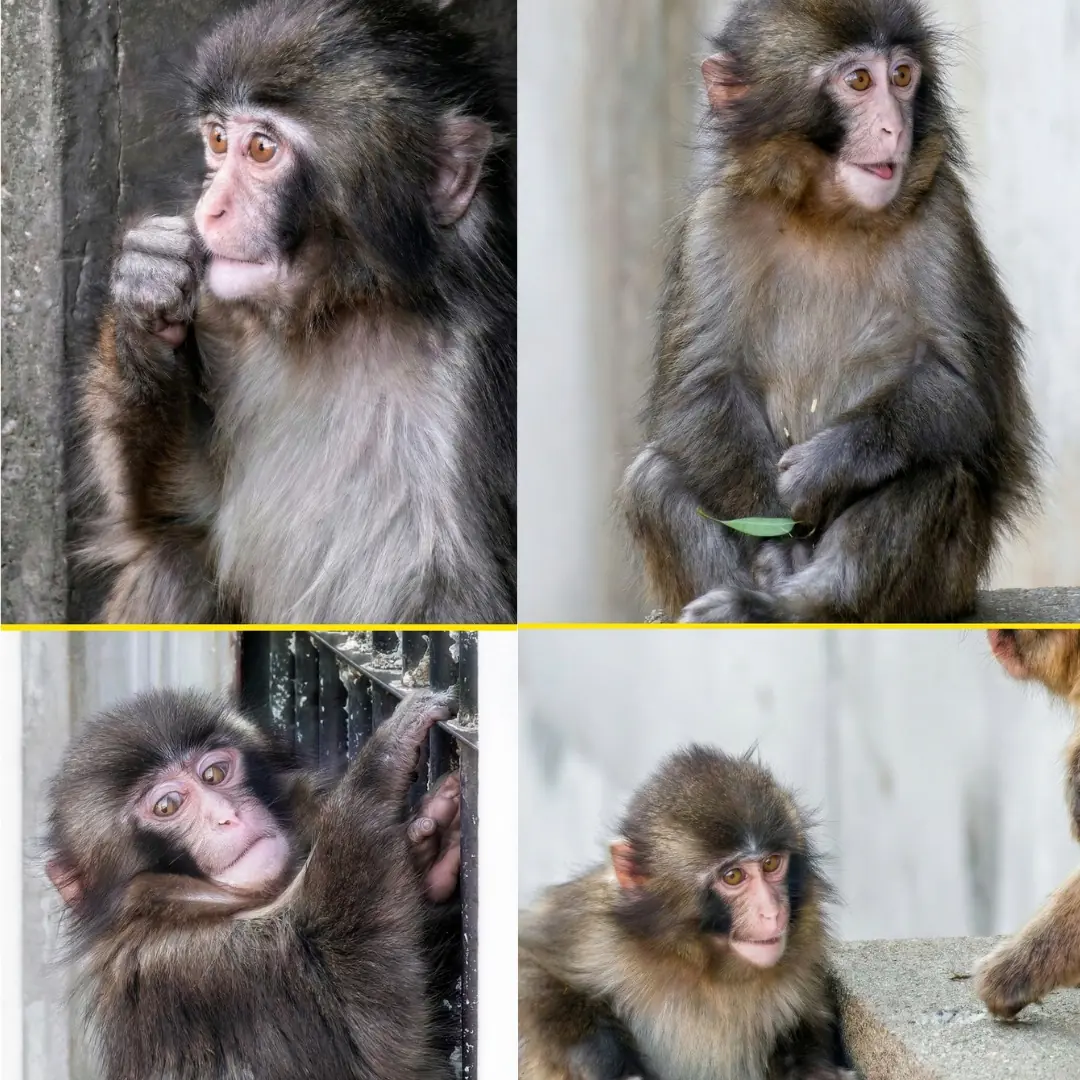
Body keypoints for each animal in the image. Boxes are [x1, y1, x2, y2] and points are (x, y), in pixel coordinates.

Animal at [45, 686, 462, 1079]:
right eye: (166, 806)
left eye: (213, 774)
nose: (226, 815)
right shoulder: (204, 967)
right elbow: (375, 1035)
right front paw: (381, 763)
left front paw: (431, 853)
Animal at [76, 0, 516, 624]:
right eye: (217, 139)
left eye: (262, 148)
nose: (208, 210)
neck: (344, 312)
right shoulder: (221, 316)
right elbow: (173, 515)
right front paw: (144, 302)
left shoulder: (484, 372)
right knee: (174, 562)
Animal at [519, 746, 856, 1080]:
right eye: (733, 876)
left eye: (771, 863)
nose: (771, 912)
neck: (706, 970)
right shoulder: (593, 928)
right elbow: (531, 964)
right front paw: (606, 1060)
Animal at [619, 0, 1038, 624]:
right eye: (859, 81)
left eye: (902, 76)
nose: (895, 127)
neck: (825, 214)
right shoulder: (714, 222)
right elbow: (700, 388)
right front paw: (773, 545)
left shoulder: (943, 214)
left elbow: (966, 392)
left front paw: (824, 467)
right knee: (654, 475)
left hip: (944, 587)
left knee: (936, 467)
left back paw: (802, 603)